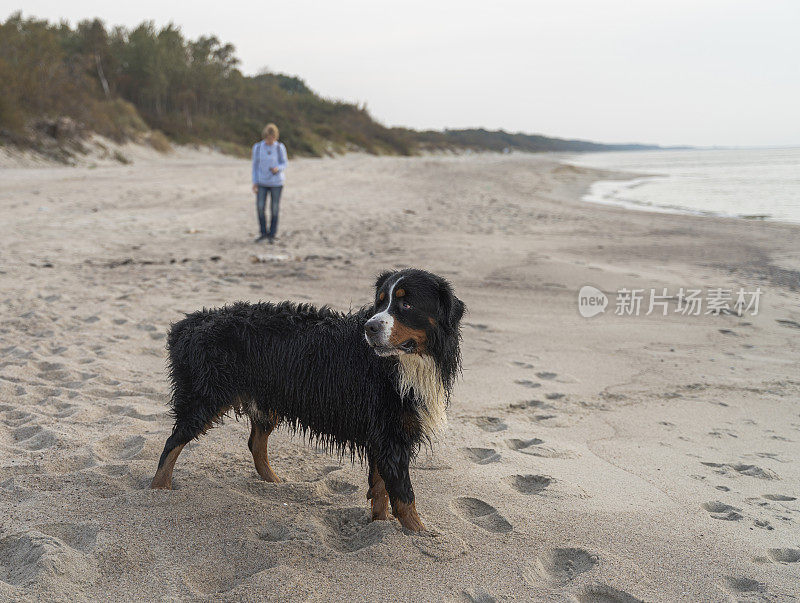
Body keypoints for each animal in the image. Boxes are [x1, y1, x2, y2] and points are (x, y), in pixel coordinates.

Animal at [149, 272, 462, 532]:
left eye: (406, 304)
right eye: (380, 302)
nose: (370, 327)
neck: (402, 364)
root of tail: (190, 322)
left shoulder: (384, 435)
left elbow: (381, 489)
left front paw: (380, 525)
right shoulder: (391, 436)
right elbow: (404, 495)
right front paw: (422, 535)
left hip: (265, 400)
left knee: (255, 443)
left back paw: (274, 482)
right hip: (203, 399)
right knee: (172, 444)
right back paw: (158, 489)